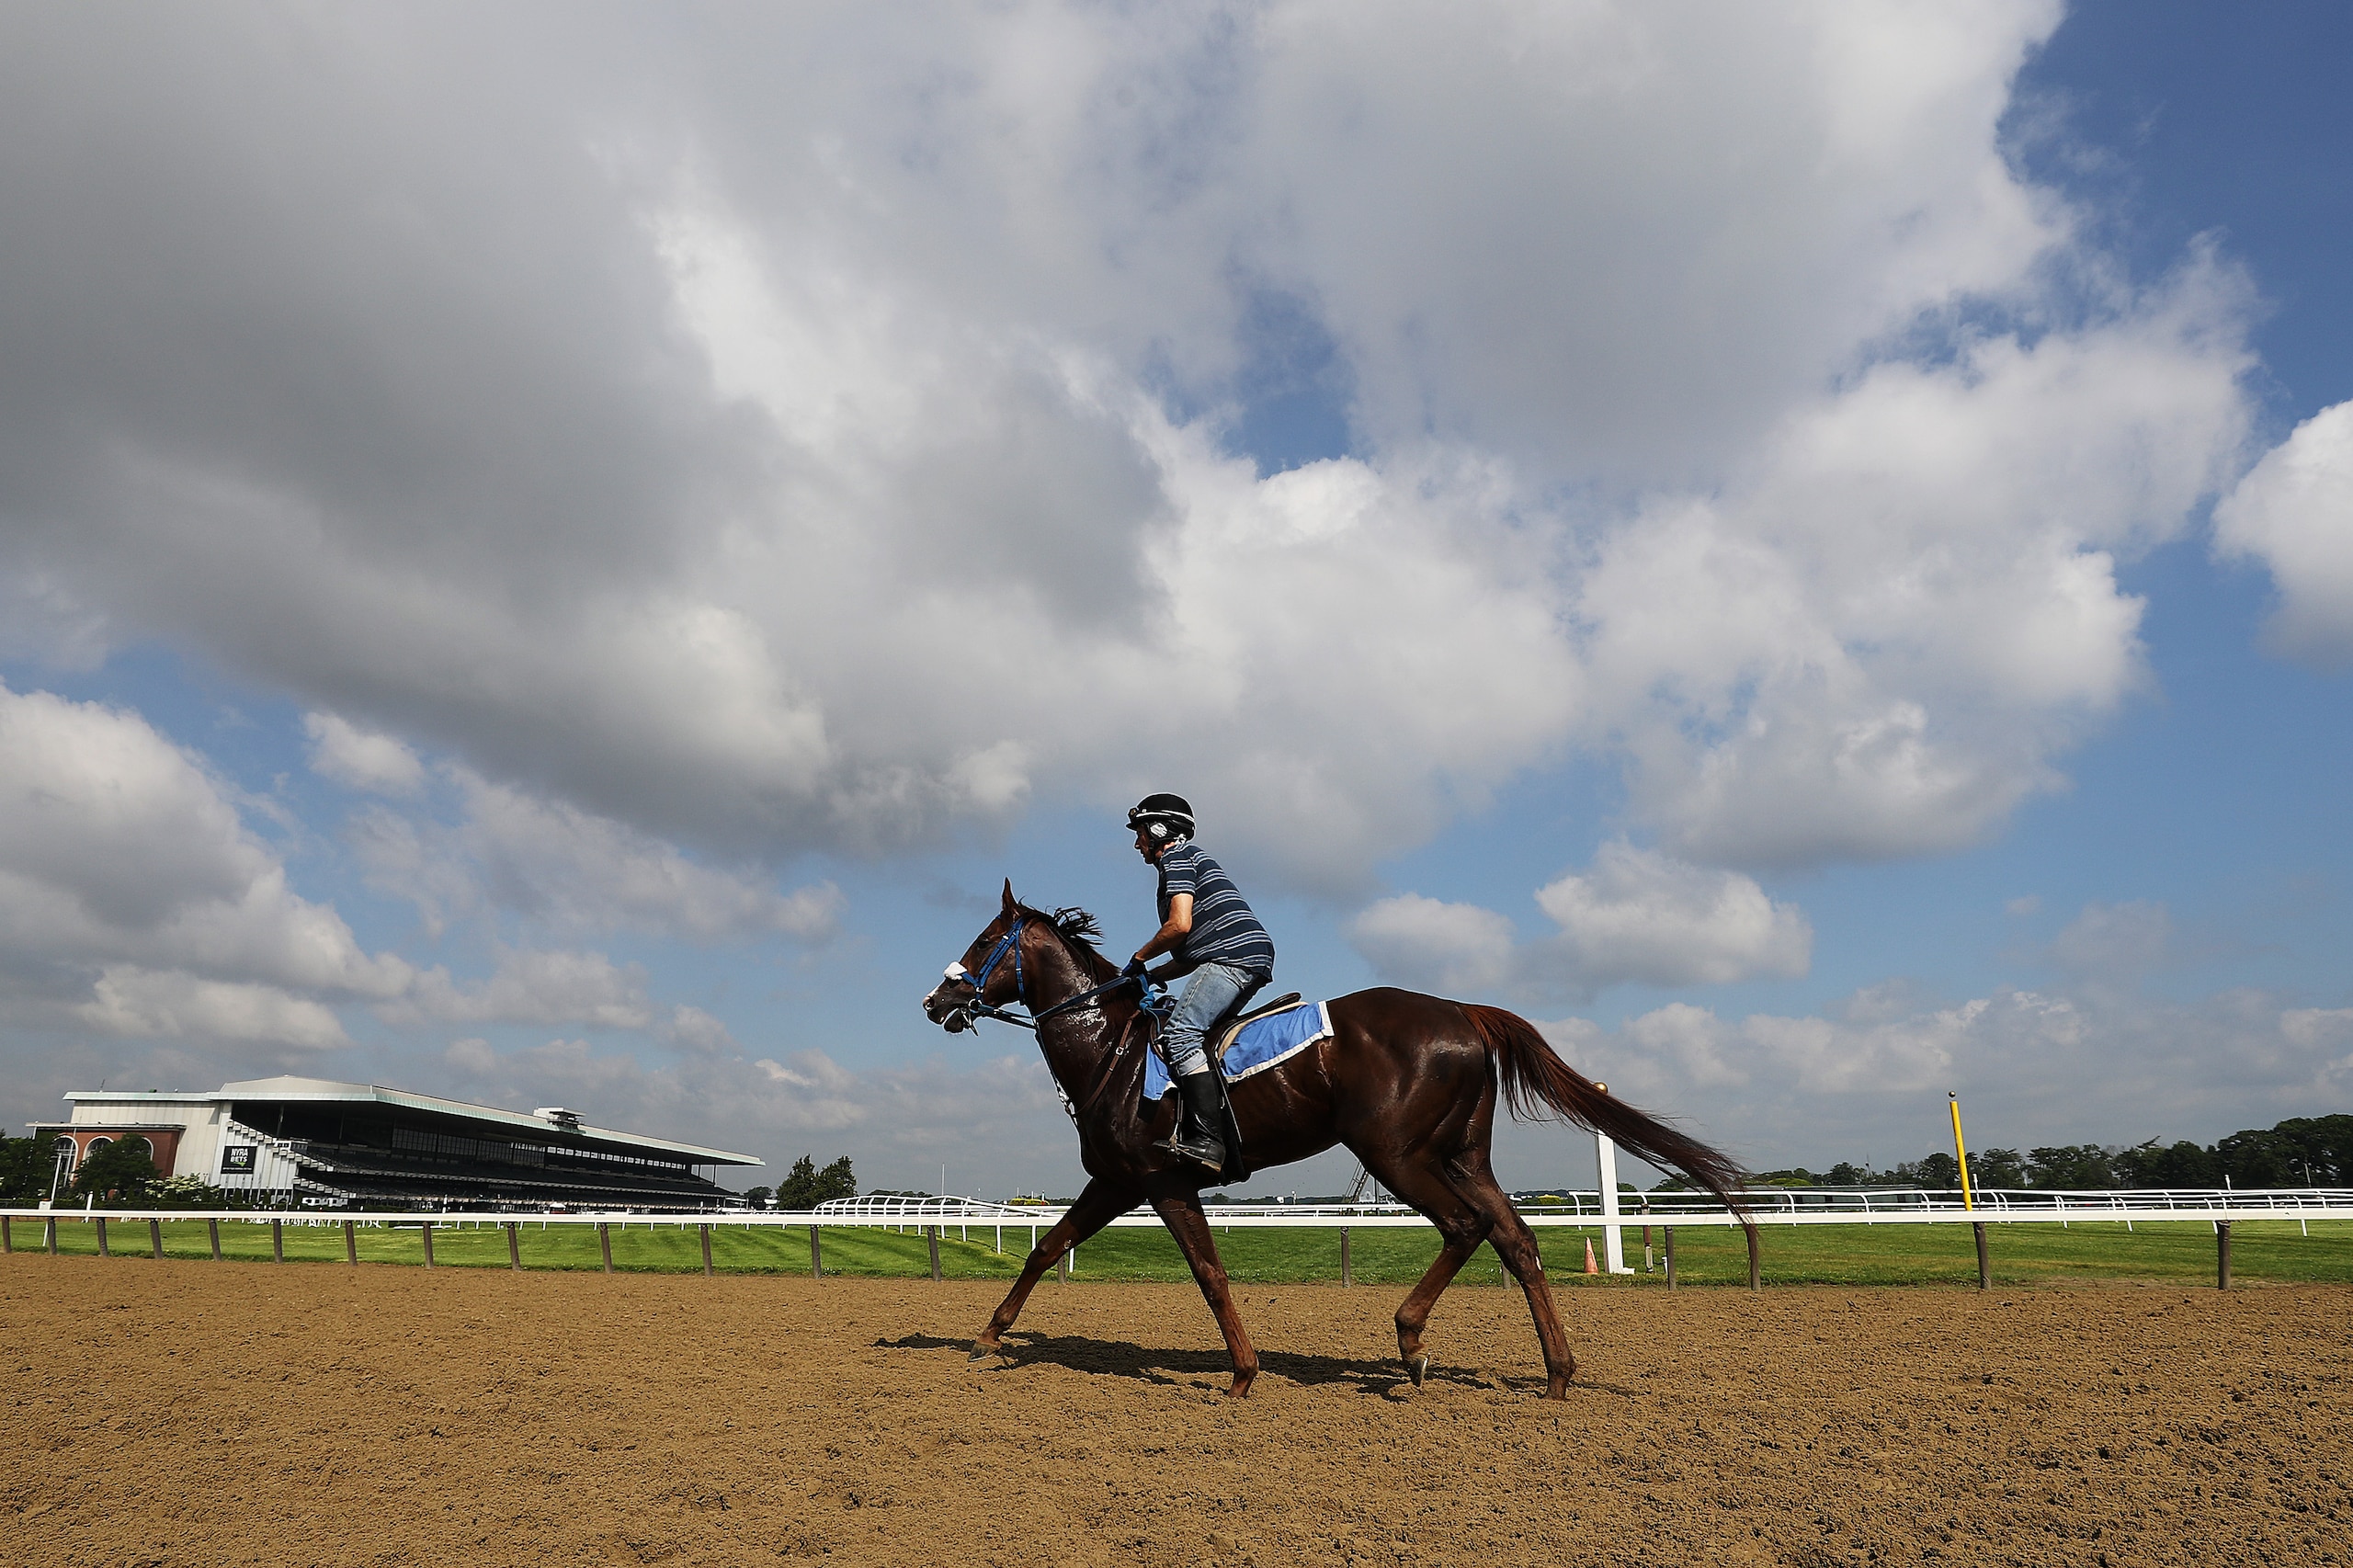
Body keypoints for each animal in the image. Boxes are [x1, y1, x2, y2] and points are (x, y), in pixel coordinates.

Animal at [919, 882, 1750, 1399]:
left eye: (986, 939)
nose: (935, 999)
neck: (1112, 1051)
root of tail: (1464, 1011)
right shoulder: (1118, 1181)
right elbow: (1046, 1247)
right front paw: (988, 1337)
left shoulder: (1164, 1181)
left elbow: (1210, 1275)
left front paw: (1243, 1373)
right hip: (1462, 1154)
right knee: (1515, 1239)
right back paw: (1557, 1373)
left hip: (1398, 1154)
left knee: (1466, 1227)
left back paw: (1412, 1343)